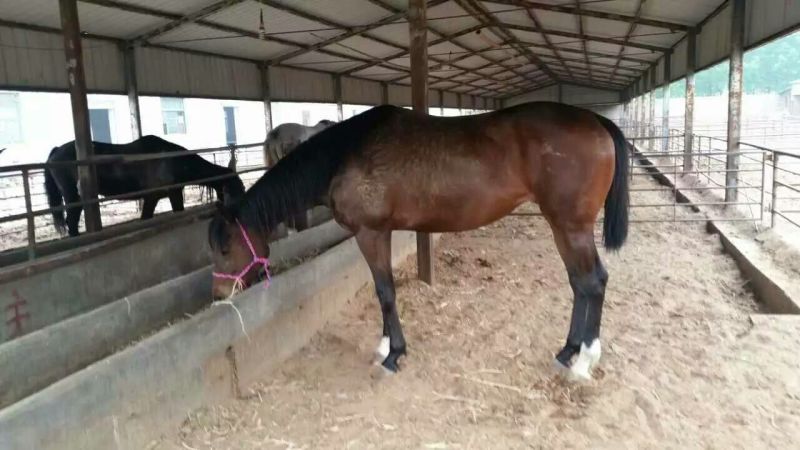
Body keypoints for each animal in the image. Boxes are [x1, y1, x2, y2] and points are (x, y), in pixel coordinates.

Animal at [44, 135, 245, 237]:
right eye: (236, 189)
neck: (171, 160)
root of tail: (56, 151)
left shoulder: (152, 198)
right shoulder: (171, 194)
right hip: (72, 196)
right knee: (71, 221)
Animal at [208, 102, 629, 382]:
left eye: (225, 248)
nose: (218, 294)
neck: (346, 155)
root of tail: (595, 120)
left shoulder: (371, 232)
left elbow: (385, 292)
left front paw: (393, 354)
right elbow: (382, 290)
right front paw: (384, 346)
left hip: (571, 226)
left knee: (593, 282)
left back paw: (584, 361)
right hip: (562, 227)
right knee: (579, 283)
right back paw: (567, 351)